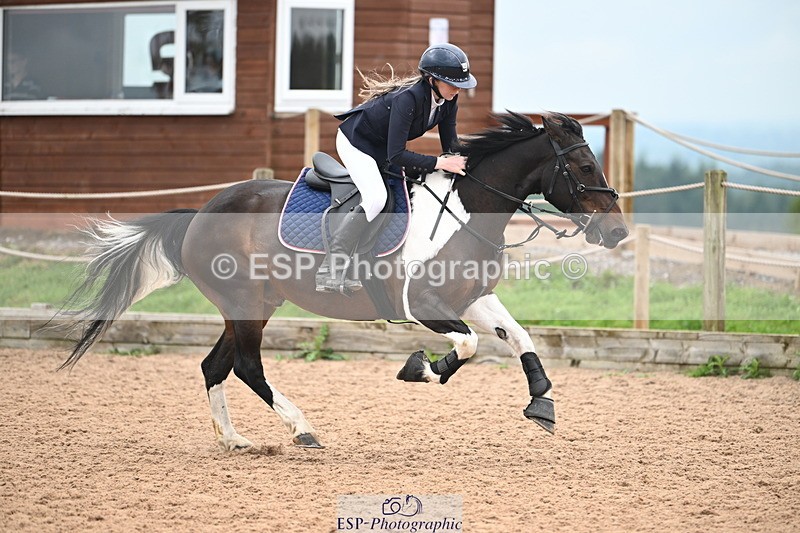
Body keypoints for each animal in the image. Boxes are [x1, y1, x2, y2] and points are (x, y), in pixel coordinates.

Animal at [58, 112, 628, 451]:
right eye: (582, 166)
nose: (618, 231)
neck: (468, 211)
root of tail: (200, 212)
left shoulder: (474, 297)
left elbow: (520, 338)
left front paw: (541, 402)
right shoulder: (424, 302)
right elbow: (465, 346)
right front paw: (420, 368)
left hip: (254, 304)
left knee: (215, 365)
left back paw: (235, 440)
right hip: (244, 302)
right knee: (245, 365)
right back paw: (303, 429)